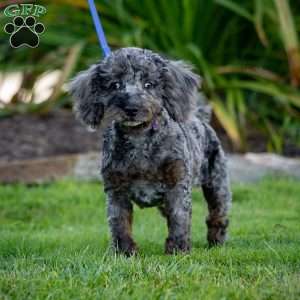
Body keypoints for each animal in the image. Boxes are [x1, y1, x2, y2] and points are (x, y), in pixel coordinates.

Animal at [69, 47, 231, 255]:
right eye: (115, 84)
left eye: (149, 84)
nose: (131, 108)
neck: (140, 139)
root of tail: (200, 118)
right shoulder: (116, 190)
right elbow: (119, 222)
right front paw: (124, 252)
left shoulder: (177, 184)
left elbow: (179, 218)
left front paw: (178, 249)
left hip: (216, 183)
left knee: (218, 215)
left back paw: (216, 241)